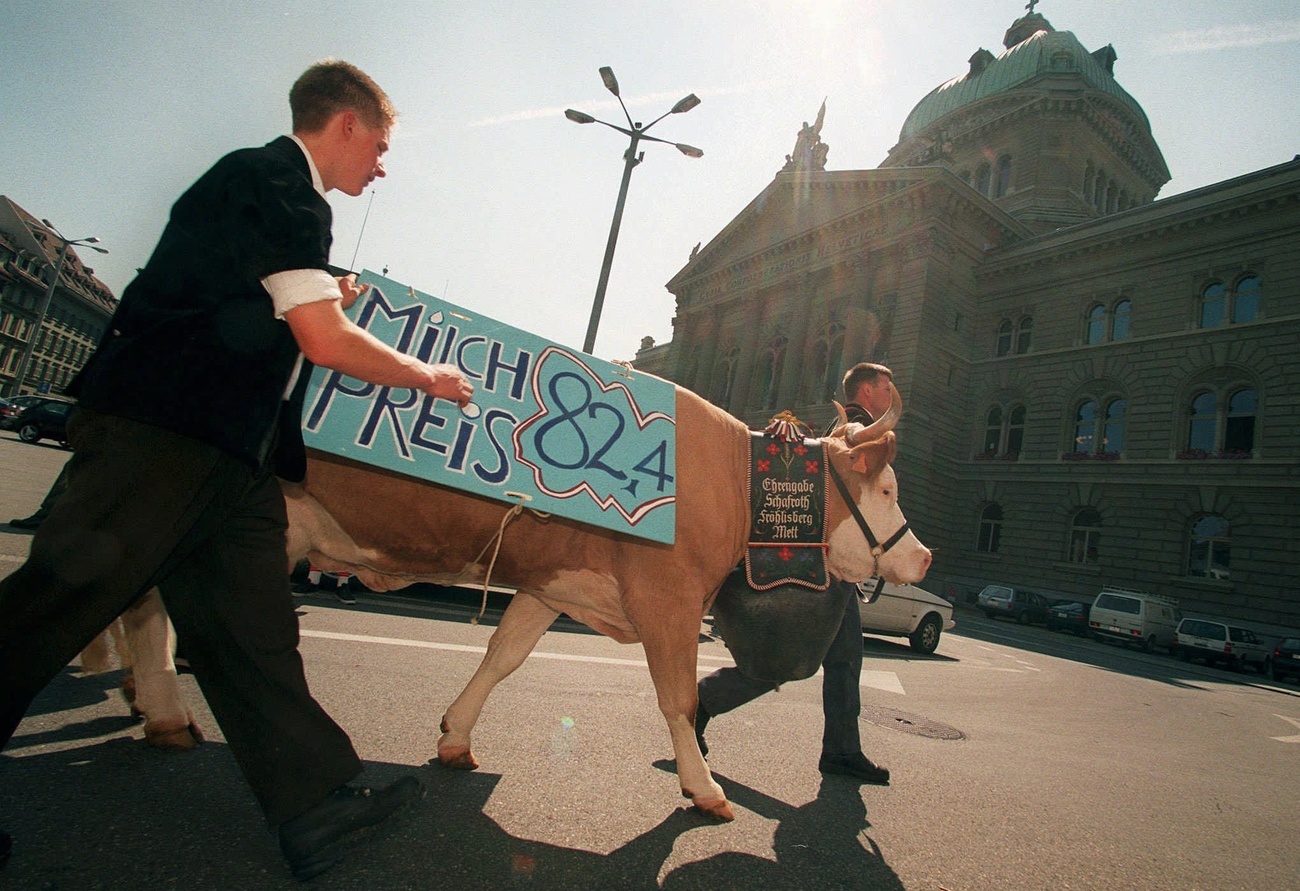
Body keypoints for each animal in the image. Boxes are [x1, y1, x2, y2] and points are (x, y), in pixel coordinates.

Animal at [286, 379, 935, 816]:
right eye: (885, 488)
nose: (926, 556)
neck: (731, 481)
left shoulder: (549, 582)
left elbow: (504, 655)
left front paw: (456, 737)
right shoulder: (670, 600)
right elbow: (678, 699)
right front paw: (704, 788)